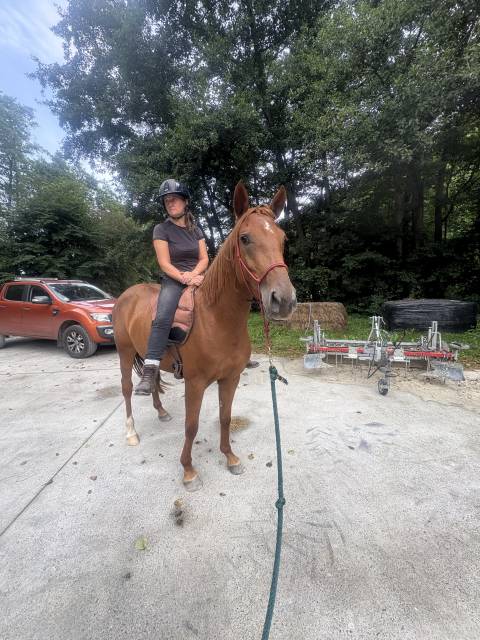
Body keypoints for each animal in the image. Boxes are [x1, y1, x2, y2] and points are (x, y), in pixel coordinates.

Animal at [112, 182, 297, 491]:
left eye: (282, 239)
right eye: (245, 238)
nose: (283, 300)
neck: (216, 321)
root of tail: (127, 295)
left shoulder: (230, 378)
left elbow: (225, 417)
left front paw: (230, 457)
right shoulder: (195, 383)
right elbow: (192, 426)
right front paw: (188, 471)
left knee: (153, 379)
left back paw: (161, 412)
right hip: (124, 353)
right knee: (126, 389)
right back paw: (131, 433)